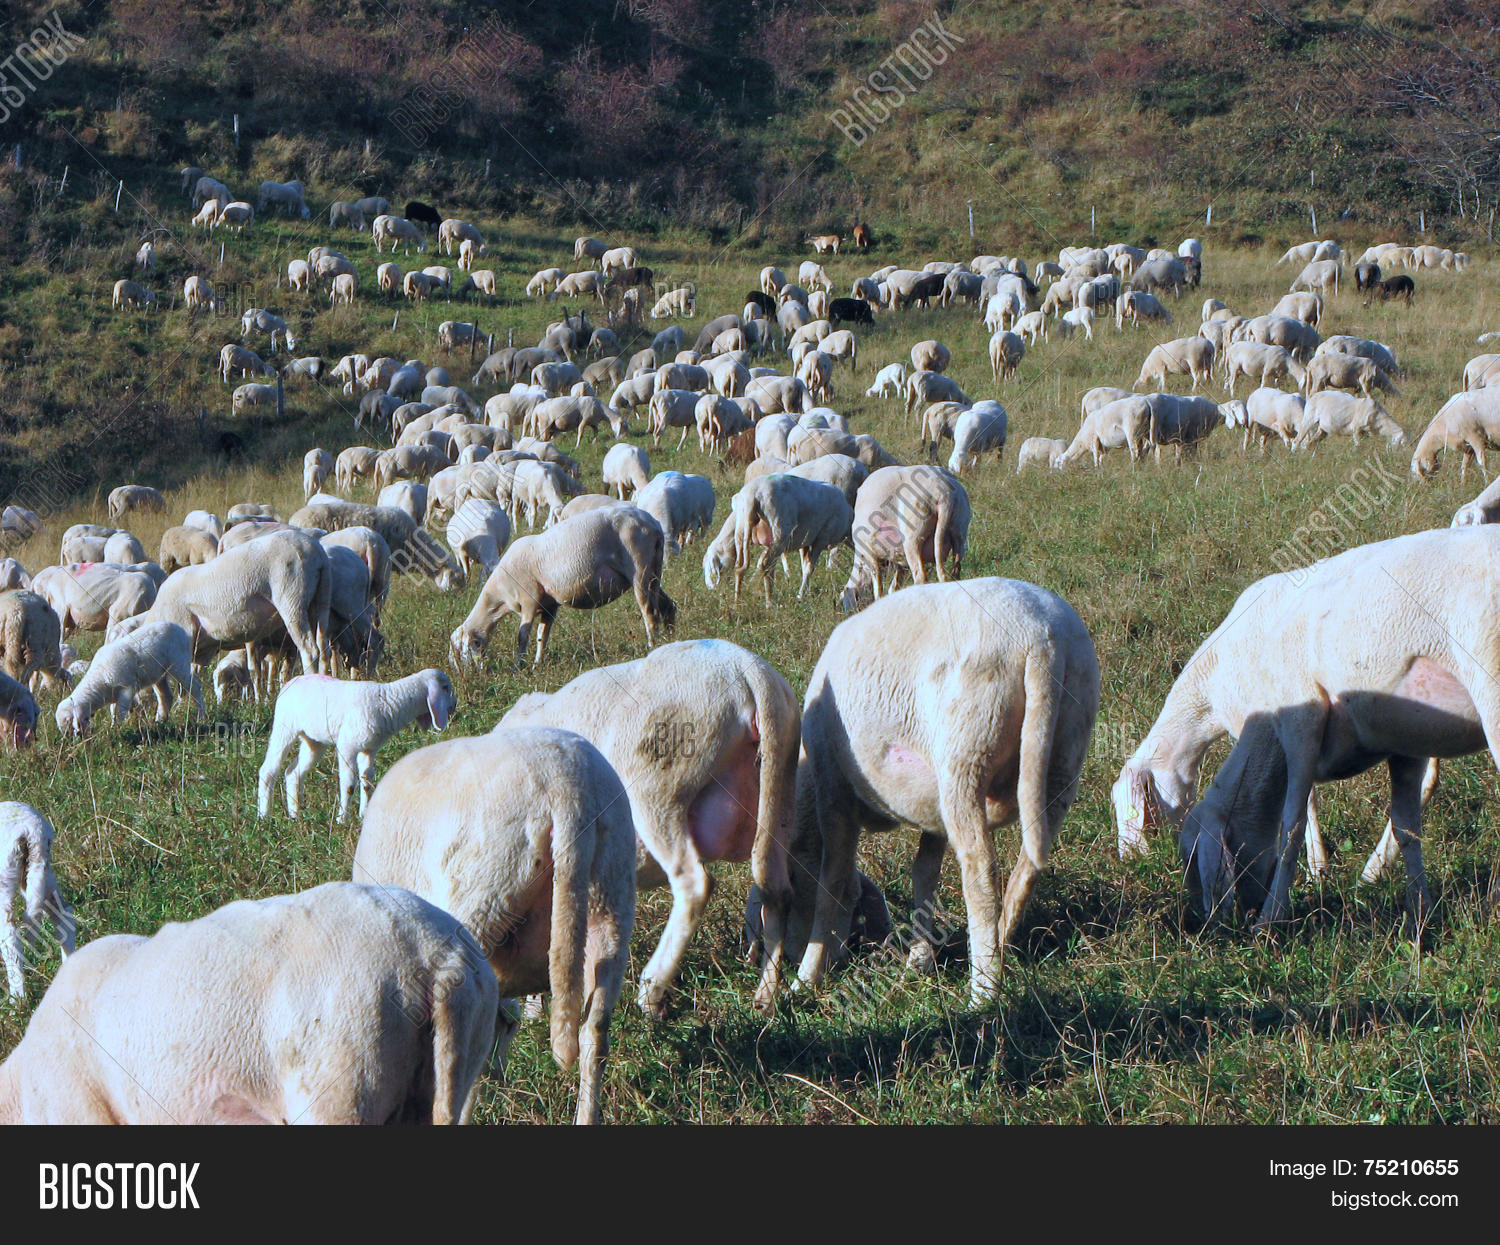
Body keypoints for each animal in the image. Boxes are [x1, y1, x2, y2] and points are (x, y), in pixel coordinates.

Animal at [0, 802, 75, 1000]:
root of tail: (32, 829)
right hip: (42, 873)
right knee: (63, 914)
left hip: (5, 879)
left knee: (11, 937)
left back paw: (17, 999)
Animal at [54, 620, 205, 736]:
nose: (78, 739)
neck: (99, 680)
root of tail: (181, 630)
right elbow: (113, 711)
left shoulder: (126, 689)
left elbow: (120, 712)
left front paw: (116, 729)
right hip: (158, 673)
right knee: (165, 696)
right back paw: (160, 721)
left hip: (179, 663)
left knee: (195, 687)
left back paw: (201, 716)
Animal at [450, 506, 675, 668]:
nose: (469, 675)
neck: (500, 597)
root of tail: (653, 524)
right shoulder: (549, 606)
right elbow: (542, 636)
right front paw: (537, 664)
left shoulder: (529, 599)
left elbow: (523, 636)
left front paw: (518, 667)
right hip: (654, 571)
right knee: (668, 605)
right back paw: (670, 639)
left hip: (639, 569)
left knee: (649, 612)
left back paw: (651, 646)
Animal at [789, 578, 1098, 1004]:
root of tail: (1041, 640)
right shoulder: (930, 812)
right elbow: (924, 871)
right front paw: (919, 959)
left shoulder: (832, 787)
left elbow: (832, 882)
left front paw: (806, 976)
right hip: (1065, 752)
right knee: (1029, 865)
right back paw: (1000, 943)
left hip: (966, 751)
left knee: (980, 868)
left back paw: (983, 990)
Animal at [839, 465, 969, 607]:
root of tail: (943, 493)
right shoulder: (900, 561)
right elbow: (894, 586)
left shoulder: (869, 551)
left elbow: (878, 584)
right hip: (959, 532)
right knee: (955, 572)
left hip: (913, 537)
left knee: (921, 576)